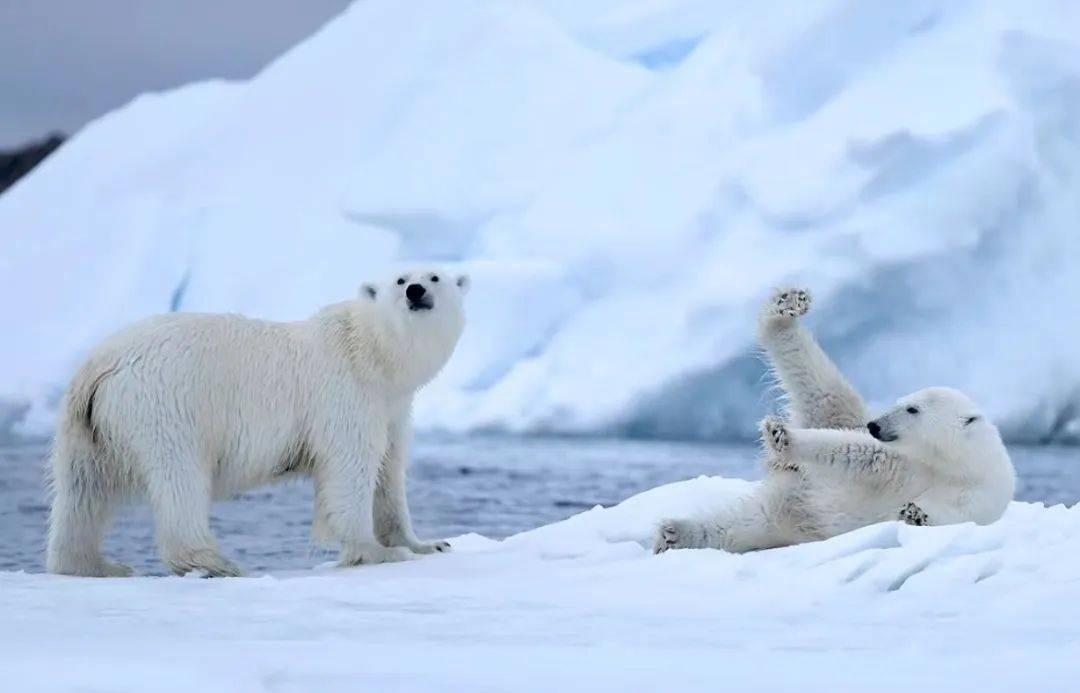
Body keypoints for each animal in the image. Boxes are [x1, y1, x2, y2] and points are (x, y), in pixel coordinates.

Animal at [48, 267, 468, 574]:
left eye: (434, 277)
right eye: (400, 279)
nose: (415, 291)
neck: (371, 354)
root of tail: (99, 365)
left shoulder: (391, 408)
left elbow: (388, 473)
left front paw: (428, 544)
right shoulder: (345, 395)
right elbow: (350, 468)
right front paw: (377, 552)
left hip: (87, 425)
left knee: (82, 492)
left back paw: (95, 565)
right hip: (166, 406)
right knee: (180, 478)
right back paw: (216, 562)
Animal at [652, 284, 1015, 550]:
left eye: (913, 409)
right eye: (901, 401)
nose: (875, 424)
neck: (954, 464)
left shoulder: (980, 498)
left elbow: (950, 515)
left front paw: (914, 512)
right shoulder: (903, 461)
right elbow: (859, 454)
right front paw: (781, 435)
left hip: (784, 515)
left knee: (741, 523)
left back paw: (674, 534)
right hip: (836, 419)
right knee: (823, 386)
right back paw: (785, 308)